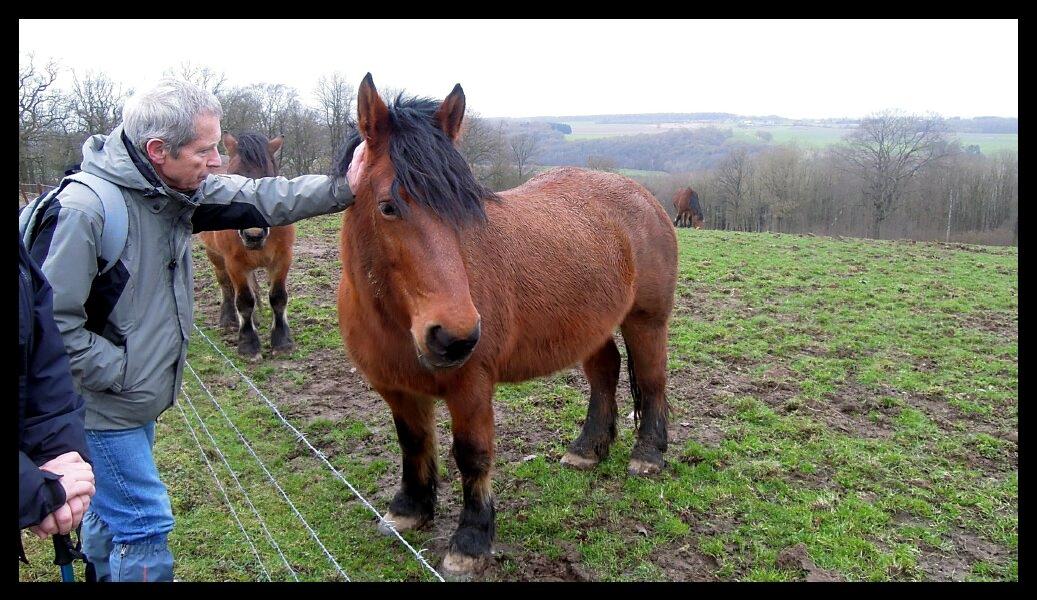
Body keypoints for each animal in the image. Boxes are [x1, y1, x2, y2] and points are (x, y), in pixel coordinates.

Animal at [198, 132, 296, 358]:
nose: (253, 235)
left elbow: (278, 297)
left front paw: (282, 341)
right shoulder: (235, 264)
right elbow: (244, 301)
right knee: (225, 285)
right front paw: (248, 345)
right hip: (215, 256)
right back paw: (228, 321)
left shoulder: (282, 259)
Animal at [333, 75, 680, 576]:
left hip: (646, 321)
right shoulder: (397, 387)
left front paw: (471, 541)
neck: (395, 320)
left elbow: (473, 456)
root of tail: (643, 195)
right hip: (588, 324)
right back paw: (587, 449)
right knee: (605, 371)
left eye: (466, 207)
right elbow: (413, 442)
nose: (454, 336)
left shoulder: (472, 385)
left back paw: (648, 454)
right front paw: (410, 510)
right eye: (387, 207)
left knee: (652, 379)